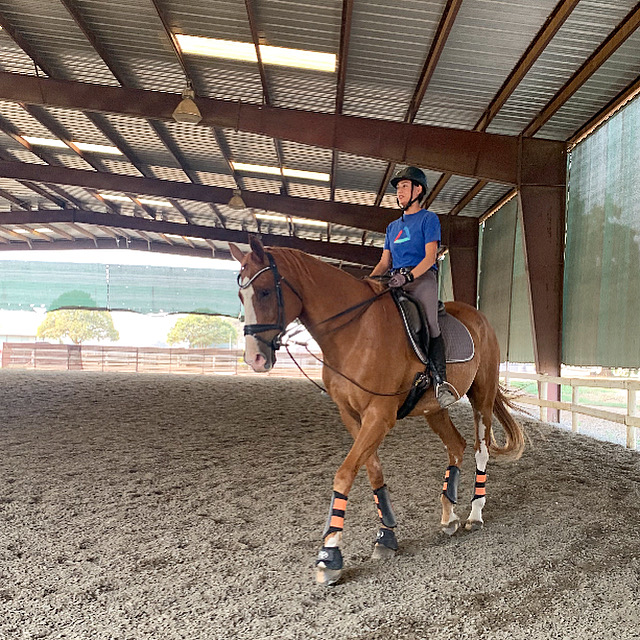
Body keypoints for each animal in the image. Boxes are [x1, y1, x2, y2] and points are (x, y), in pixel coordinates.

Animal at [228, 236, 524, 584]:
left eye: (263, 291)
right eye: (240, 295)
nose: (255, 359)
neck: (354, 333)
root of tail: (478, 317)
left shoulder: (379, 416)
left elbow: (344, 474)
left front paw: (329, 556)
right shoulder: (352, 415)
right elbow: (372, 471)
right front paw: (387, 537)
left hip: (482, 396)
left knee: (480, 449)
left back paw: (474, 515)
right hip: (434, 409)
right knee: (456, 446)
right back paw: (449, 515)